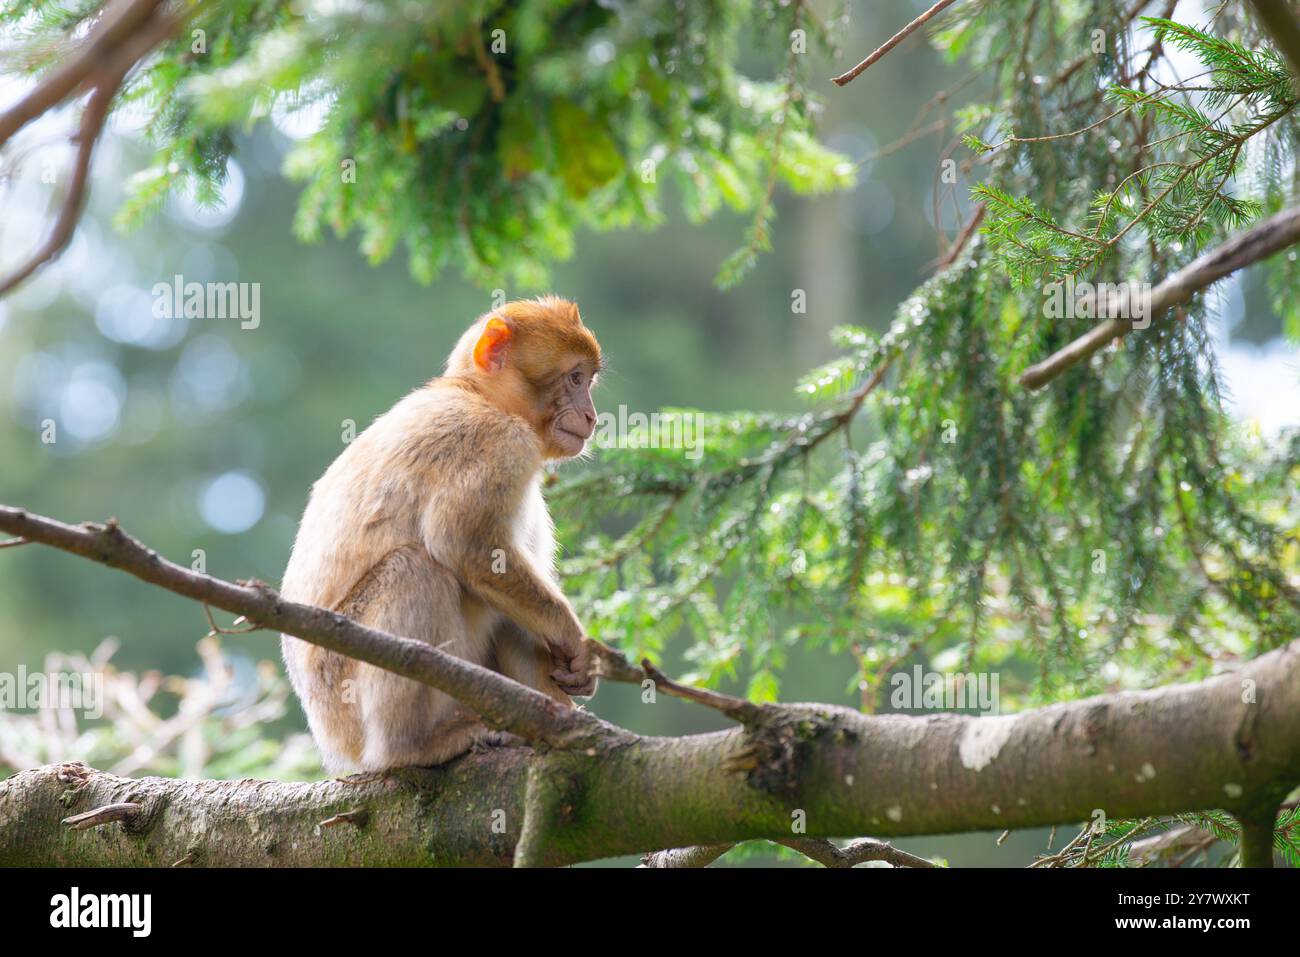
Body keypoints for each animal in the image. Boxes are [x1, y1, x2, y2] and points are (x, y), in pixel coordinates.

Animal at [280, 295, 603, 774]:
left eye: (588, 380)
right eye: (575, 377)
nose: (591, 416)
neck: (478, 396)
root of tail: (331, 745)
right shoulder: (496, 442)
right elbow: (464, 546)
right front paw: (572, 636)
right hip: (339, 690)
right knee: (416, 569)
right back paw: (410, 747)